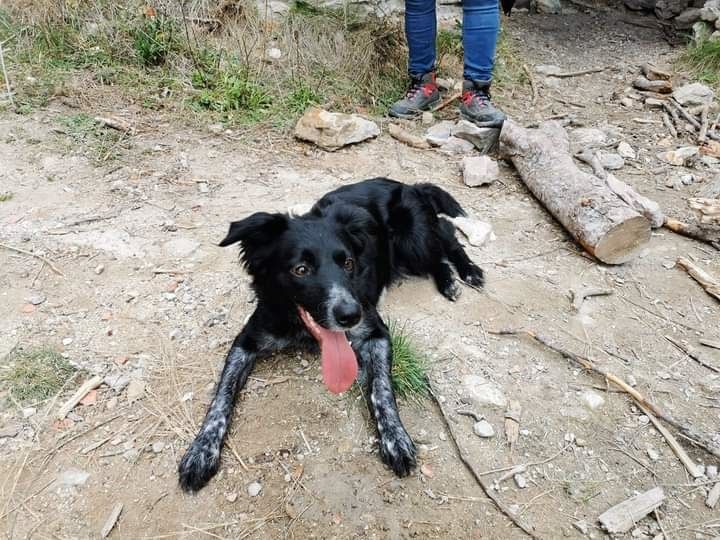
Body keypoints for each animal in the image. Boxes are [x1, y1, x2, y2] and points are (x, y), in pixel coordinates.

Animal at [179, 178, 484, 494]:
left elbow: (382, 389)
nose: (351, 315)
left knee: (447, 235)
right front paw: (201, 450)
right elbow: (221, 397)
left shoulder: (376, 332)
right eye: (301, 269)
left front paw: (395, 438)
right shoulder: (246, 340)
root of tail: (409, 185)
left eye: (348, 263)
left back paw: (465, 273)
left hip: (414, 239)